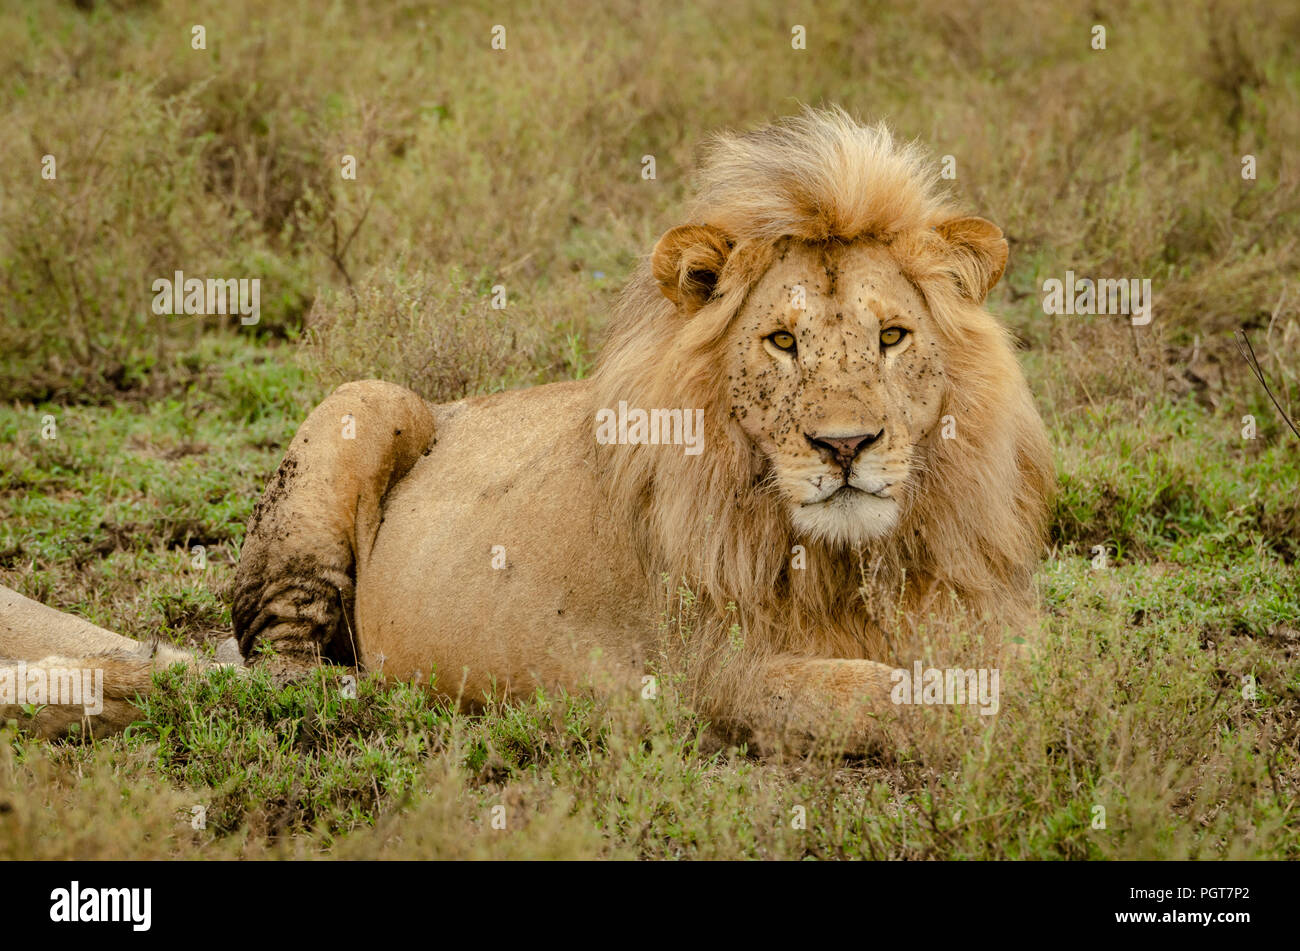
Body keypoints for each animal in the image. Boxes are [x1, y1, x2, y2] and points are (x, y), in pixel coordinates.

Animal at [2, 107, 1053, 748]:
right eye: (784, 341)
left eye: (891, 336)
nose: (845, 447)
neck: (845, 559)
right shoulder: (714, 672)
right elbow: (893, 697)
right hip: (362, 404)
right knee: (285, 680)